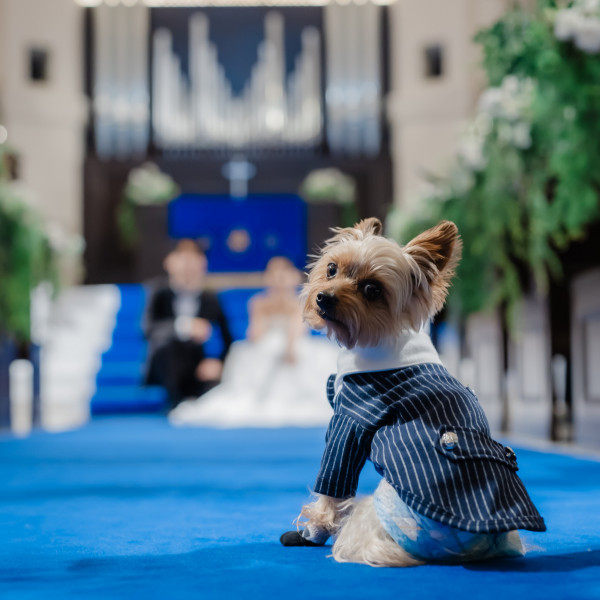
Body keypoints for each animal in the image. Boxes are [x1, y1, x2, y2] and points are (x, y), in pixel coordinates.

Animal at [278, 218, 548, 564]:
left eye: (372, 290)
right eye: (331, 268)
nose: (324, 297)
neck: (380, 340)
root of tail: (474, 546)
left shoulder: (349, 422)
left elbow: (332, 483)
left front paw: (314, 529)